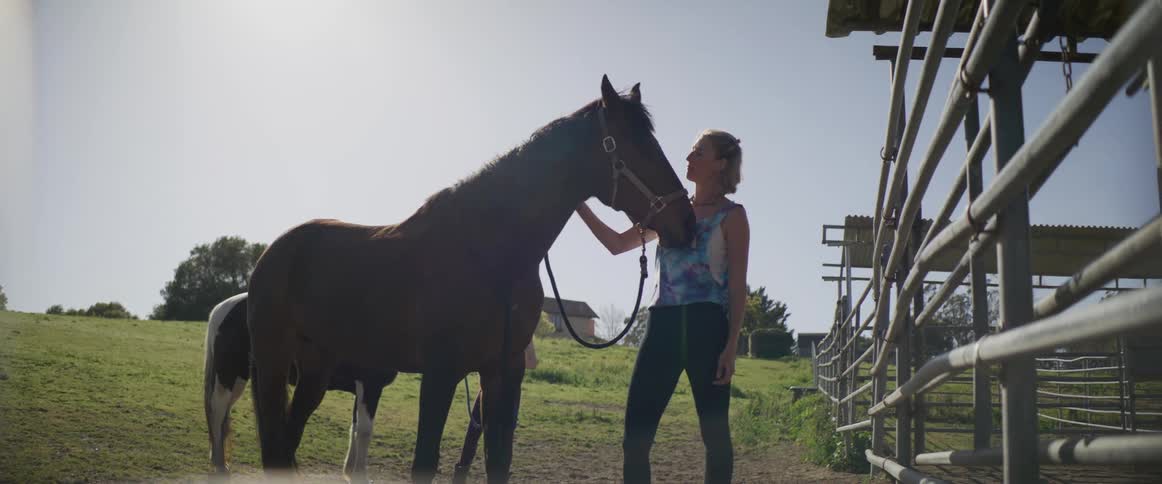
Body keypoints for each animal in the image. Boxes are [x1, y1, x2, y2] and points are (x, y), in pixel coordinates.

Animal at [203, 292, 396, 482]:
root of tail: (222, 308)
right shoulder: (370, 386)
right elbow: (364, 431)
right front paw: (359, 476)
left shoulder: (361, 390)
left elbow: (355, 427)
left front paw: (349, 471)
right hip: (229, 374)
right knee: (218, 410)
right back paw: (220, 465)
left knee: (223, 414)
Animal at [246, 74, 695, 483]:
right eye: (639, 147)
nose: (687, 224)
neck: (490, 256)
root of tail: (275, 251)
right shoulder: (441, 372)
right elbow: (424, 462)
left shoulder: (503, 372)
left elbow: (499, 461)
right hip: (272, 360)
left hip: (315, 369)